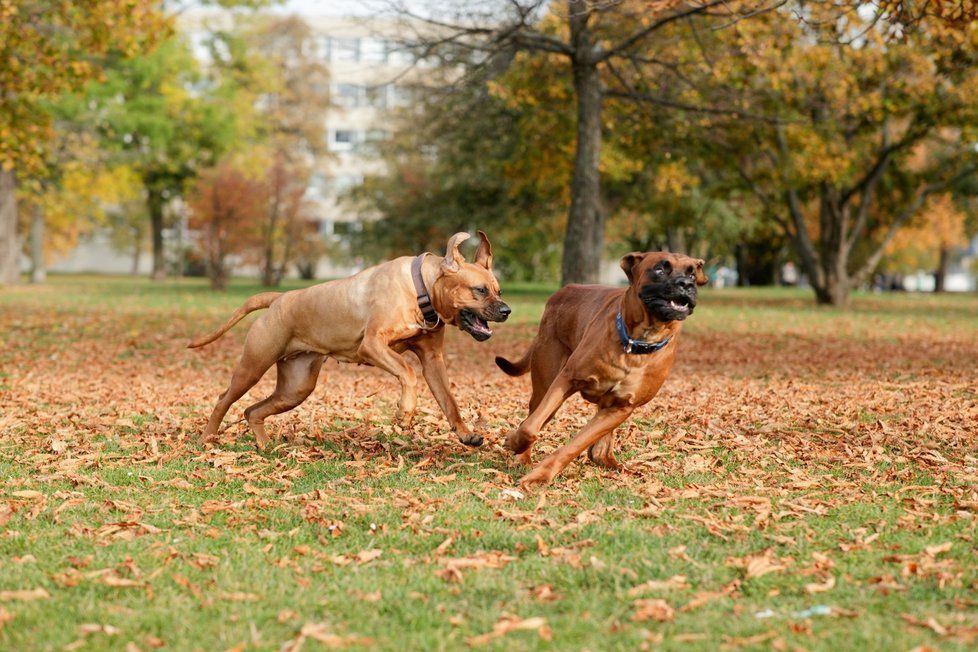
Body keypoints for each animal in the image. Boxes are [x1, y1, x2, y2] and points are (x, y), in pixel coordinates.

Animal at [191, 232, 510, 450]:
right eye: (480, 290)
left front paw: (465, 433)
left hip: (296, 388)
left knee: (252, 410)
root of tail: (280, 298)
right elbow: (407, 371)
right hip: (253, 367)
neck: (420, 288)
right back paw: (208, 437)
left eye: (499, 290)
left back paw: (263, 445)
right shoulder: (372, 345)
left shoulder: (433, 361)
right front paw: (405, 413)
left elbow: (449, 401)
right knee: (224, 399)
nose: (506, 310)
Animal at [496, 252, 700, 486]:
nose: (686, 284)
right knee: (532, 417)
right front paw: (513, 442)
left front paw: (542, 475)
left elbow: (575, 446)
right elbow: (529, 428)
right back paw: (523, 456)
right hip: (545, 381)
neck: (638, 343)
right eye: (660, 269)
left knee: (598, 450)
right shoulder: (567, 379)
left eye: (692, 273)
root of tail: (563, 291)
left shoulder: (621, 408)